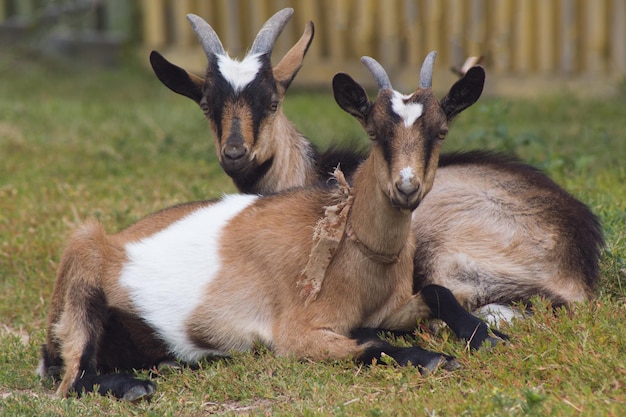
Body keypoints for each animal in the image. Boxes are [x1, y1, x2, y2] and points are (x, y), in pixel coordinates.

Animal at [39, 51, 498, 400]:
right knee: (72, 379)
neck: (355, 251)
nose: (406, 187)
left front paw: (489, 337)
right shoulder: (295, 333)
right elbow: (372, 344)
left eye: (441, 131)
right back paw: (134, 387)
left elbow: (437, 291)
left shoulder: (392, 306)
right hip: (82, 264)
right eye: (374, 131)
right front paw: (436, 357)